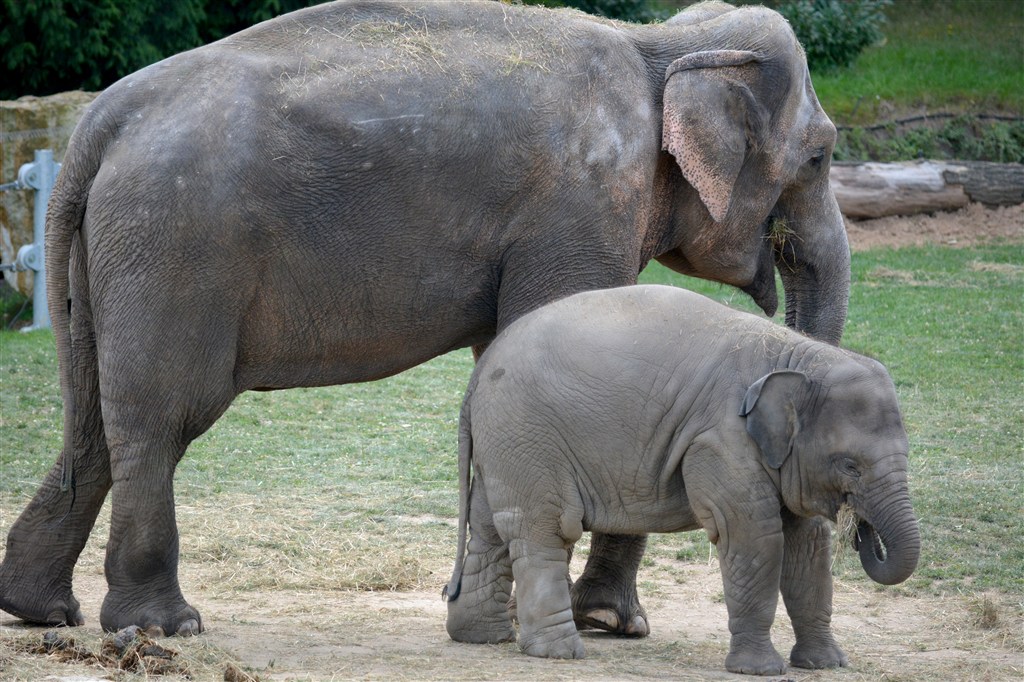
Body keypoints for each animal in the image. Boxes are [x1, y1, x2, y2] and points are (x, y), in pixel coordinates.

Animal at [0, 1, 847, 638]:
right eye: (821, 158)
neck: (660, 43)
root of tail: (97, 123)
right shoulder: (580, 207)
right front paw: (595, 623)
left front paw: (555, 619)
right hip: (175, 245)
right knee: (161, 417)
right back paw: (162, 626)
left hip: (117, 254)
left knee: (94, 417)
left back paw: (43, 611)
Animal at [440, 284, 921, 671]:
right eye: (850, 465)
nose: (862, 532)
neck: (794, 355)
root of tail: (476, 376)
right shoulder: (720, 441)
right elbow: (753, 536)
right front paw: (759, 670)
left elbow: (808, 546)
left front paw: (827, 665)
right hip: (527, 436)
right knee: (544, 530)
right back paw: (559, 653)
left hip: (504, 441)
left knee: (489, 528)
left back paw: (481, 638)